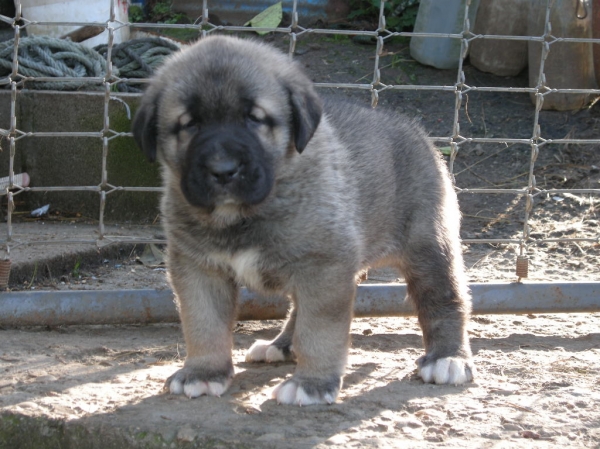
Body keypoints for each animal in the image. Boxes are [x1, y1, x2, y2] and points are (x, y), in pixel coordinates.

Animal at [134, 36, 476, 406]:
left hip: (428, 246)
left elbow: (319, 330)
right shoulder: (199, 268)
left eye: (255, 119)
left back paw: (448, 358)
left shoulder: (324, 267)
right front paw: (203, 373)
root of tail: (416, 131)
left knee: (444, 299)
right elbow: (203, 323)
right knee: (297, 310)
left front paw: (312, 384)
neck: (243, 213)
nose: (223, 170)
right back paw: (280, 346)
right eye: (189, 124)